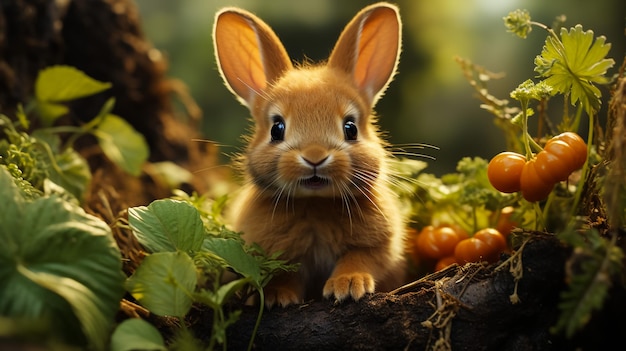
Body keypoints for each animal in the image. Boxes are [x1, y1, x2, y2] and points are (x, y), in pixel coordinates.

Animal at [212, 2, 408, 308]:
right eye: (277, 128)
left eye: (350, 128)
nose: (315, 157)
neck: (316, 204)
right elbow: (284, 274)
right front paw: (277, 297)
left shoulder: (376, 248)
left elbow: (358, 259)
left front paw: (347, 285)